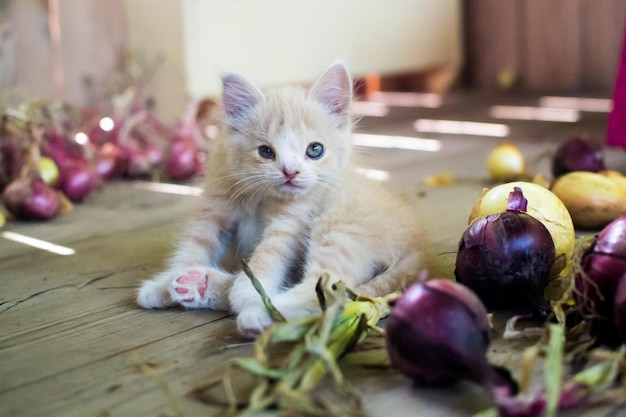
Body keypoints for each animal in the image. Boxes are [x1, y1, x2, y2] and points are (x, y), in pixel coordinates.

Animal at [138, 62, 424, 338]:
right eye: (266, 152)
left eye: (315, 150)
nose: (290, 171)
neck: (261, 196)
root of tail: (418, 244)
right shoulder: (215, 206)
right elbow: (193, 246)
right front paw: (164, 283)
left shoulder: (293, 218)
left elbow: (269, 252)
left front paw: (246, 291)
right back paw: (199, 284)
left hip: (338, 225)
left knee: (328, 294)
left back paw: (258, 312)